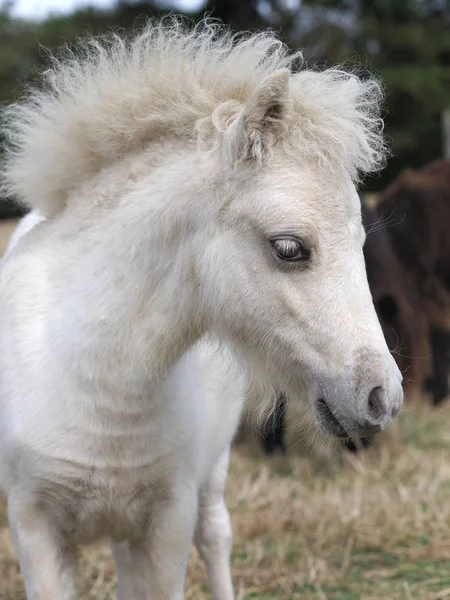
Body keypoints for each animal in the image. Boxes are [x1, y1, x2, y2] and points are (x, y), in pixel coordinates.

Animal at [0, 18, 400, 600]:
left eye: (361, 242)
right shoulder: (34, 527)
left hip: (209, 476)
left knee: (216, 535)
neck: (93, 373)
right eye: (289, 248)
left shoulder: (170, 518)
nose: (382, 397)